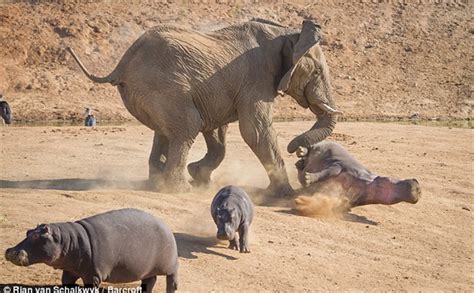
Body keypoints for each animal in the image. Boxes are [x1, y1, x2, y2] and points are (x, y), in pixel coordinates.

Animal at [4, 208, 179, 292]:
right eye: (28, 232)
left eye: (36, 236)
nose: (9, 251)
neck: (68, 240)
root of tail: (166, 225)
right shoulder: (70, 270)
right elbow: (66, 282)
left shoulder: (93, 275)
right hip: (147, 269)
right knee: (150, 281)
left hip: (170, 264)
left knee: (172, 278)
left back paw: (172, 288)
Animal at [67, 18, 340, 196]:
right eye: (317, 72)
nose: (299, 151)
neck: (286, 33)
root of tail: (122, 64)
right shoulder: (257, 79)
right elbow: (254, 130)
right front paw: (285, 195)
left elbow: (217, 130)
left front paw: (200, 176)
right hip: (163, 88)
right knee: (187, 127)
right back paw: (179, 190)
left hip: (151, 93)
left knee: (165, 132)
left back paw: (158, 183)